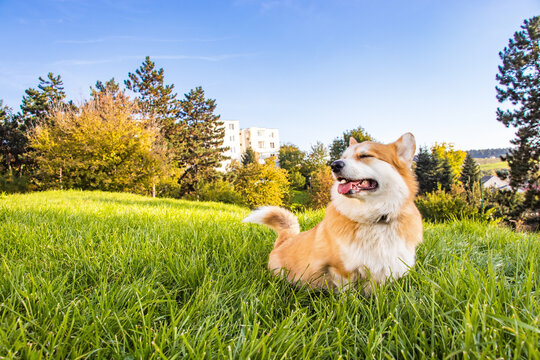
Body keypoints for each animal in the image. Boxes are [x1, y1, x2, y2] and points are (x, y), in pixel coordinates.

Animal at [243, 132, 424, 292]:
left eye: (365, 155)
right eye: (343, 157)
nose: (335, 165)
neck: (375, 219)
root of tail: (284, 242)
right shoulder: (342, 270)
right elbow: (348, 294)